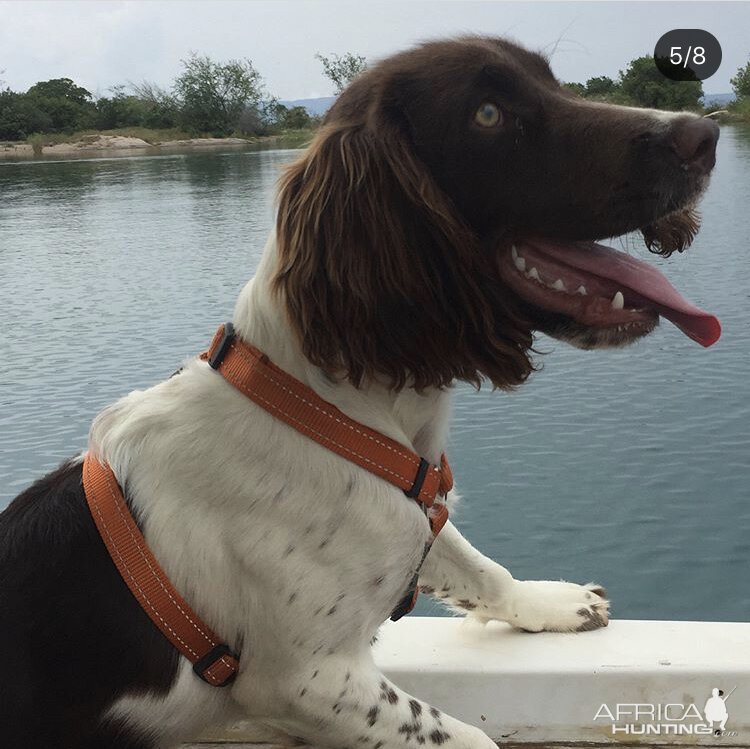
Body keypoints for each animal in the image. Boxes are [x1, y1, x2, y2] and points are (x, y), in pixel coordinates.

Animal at [1, 35, 724, 748]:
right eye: (488, 114)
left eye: (551, 82)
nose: (704, 134)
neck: (336, 413)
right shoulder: (304, 682)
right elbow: (464, 736)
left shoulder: (411, 519)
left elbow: (475, 564)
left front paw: (548, 602)